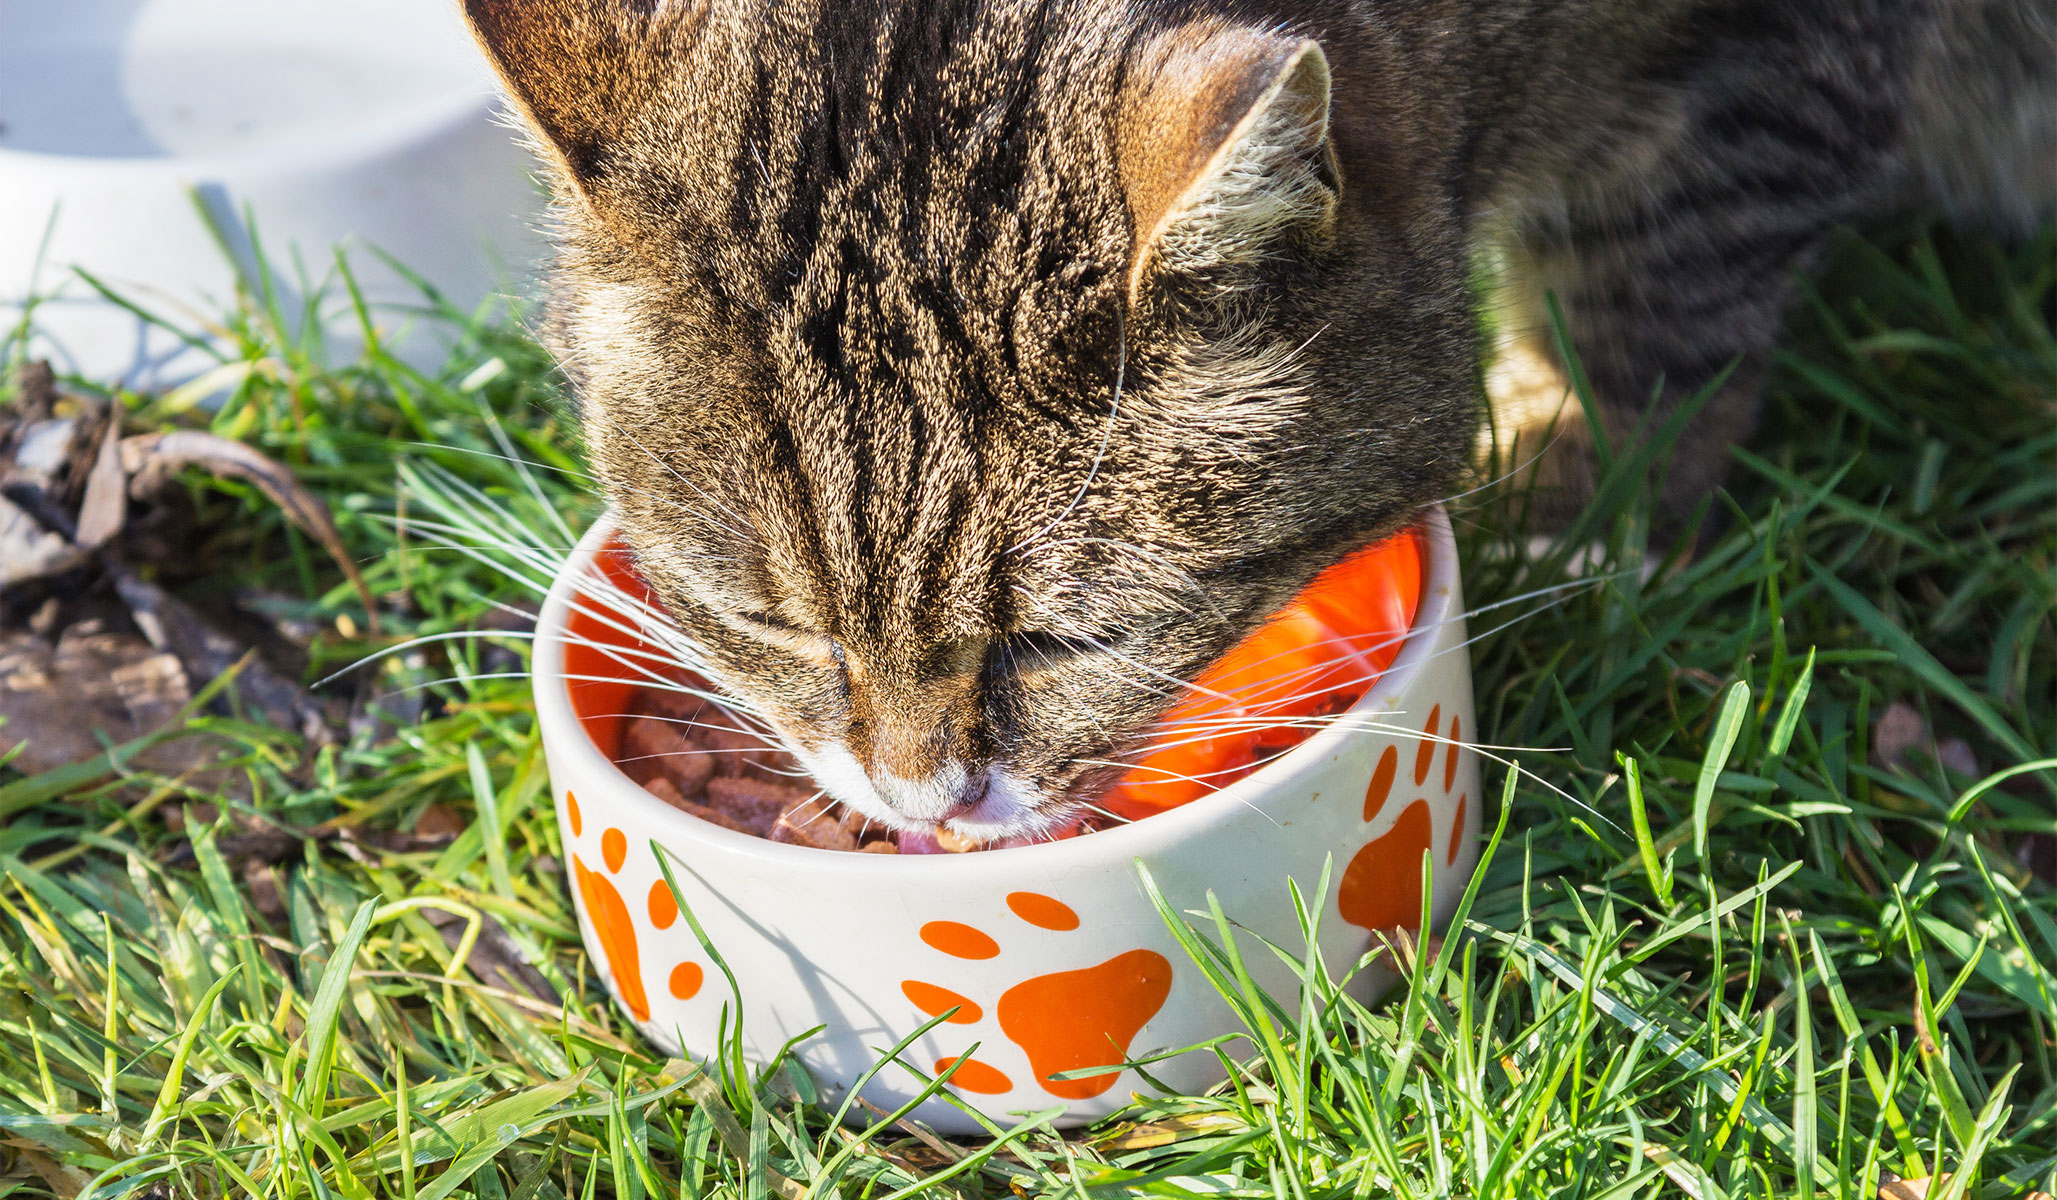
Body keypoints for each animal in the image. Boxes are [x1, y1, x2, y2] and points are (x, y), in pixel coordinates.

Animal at [466, 0, 2057, 843]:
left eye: (1065, 641)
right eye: (770, 624)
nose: (921, 803)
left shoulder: (1764, 69)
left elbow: (1653, 291)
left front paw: (1578, 510)